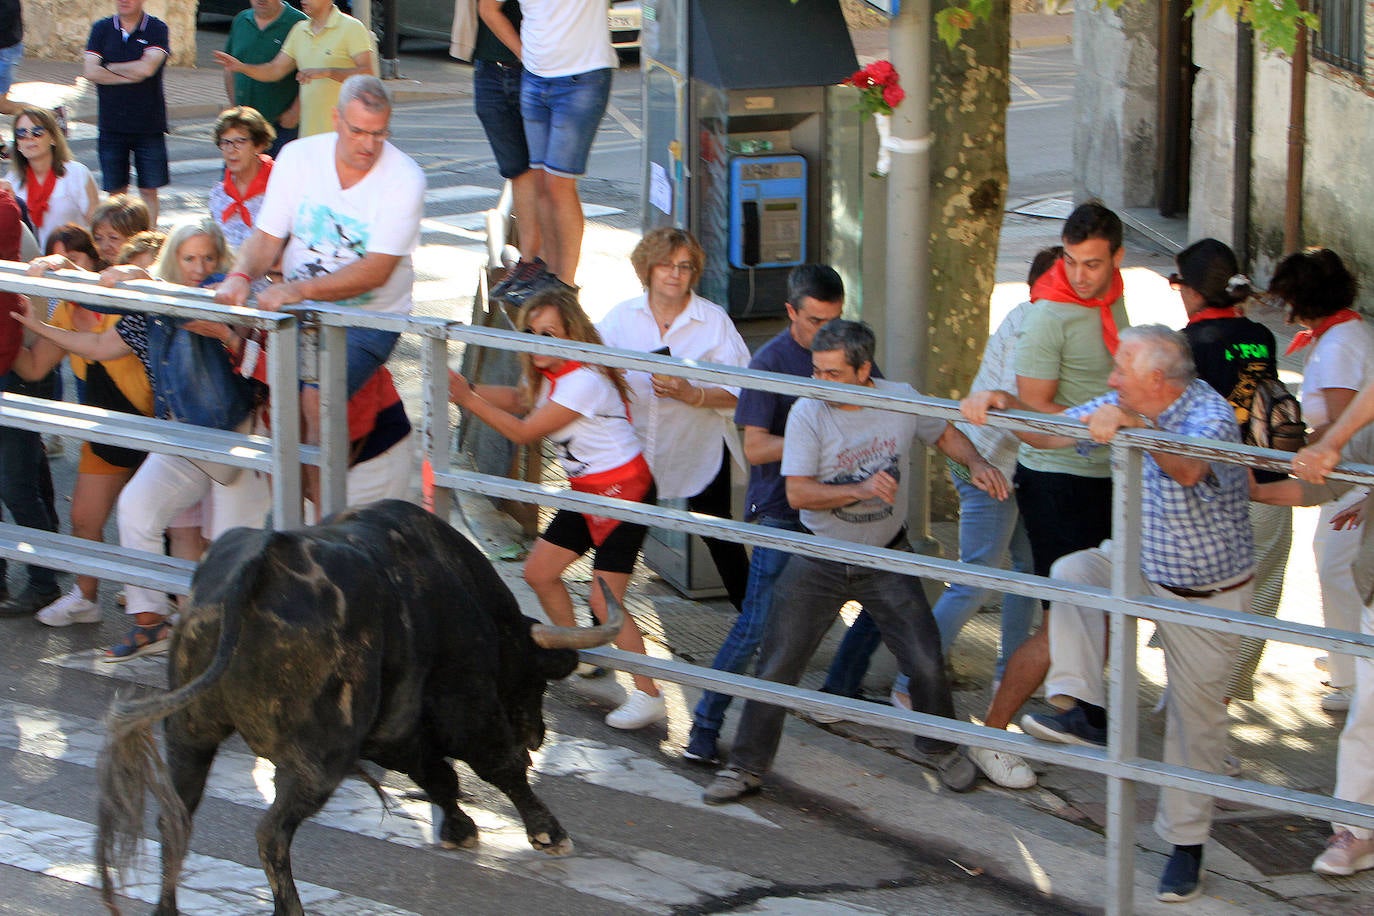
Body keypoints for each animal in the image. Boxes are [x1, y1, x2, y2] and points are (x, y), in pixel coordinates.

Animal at [99, 502, 626, 916]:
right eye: (534, 678)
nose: (538, 735)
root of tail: (261, 565)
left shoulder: (396, 733)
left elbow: (440, 777)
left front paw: (458, 828)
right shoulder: (469, 708)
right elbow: (500, 767)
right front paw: (547, 833)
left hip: (189, 736)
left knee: (175, 818)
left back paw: (166, 909)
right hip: (317, 762)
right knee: (271, 835)